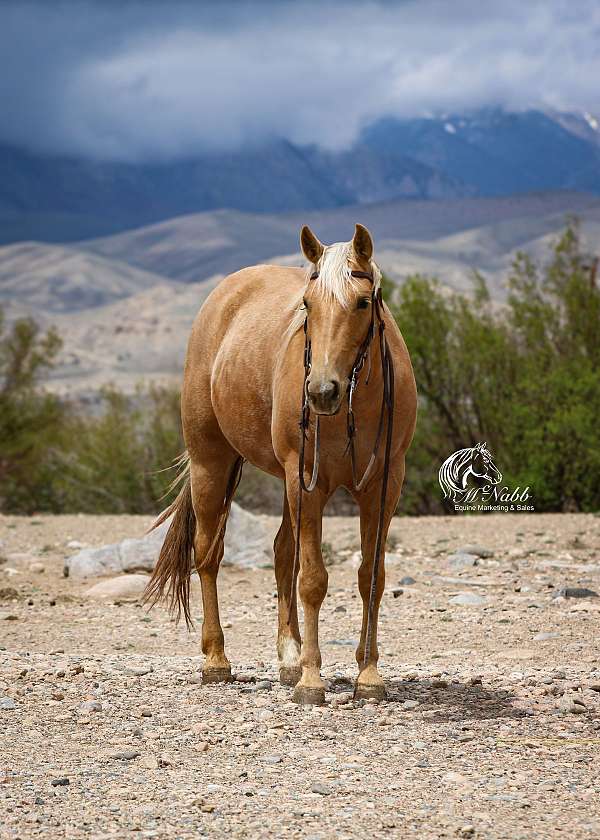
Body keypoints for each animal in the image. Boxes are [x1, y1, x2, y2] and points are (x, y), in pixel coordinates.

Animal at [144, 223, 417, 704]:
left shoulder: (383, 484)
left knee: (280, 551)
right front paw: (312, 681)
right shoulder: (308, 482)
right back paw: (217, 660)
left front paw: (368, 675)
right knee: (208, 553)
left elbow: (371, 575)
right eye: (307, 304)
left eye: (363, 302)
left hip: (290, 484)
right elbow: (313, 580)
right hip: (213, 463)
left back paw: (288, 657)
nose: (322, 391)